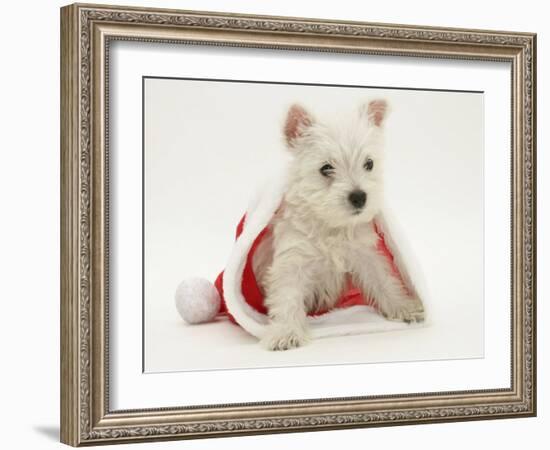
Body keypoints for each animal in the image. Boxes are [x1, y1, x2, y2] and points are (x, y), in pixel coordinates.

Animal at [256, 101, 426, 352]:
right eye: (326, 168)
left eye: (369, 163)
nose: (359, 197)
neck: (331, 226)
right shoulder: (292, 260)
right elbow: (287, 296)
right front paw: (286, 333)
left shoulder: (365, 254)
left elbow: (384, 280)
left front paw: (404, 307)